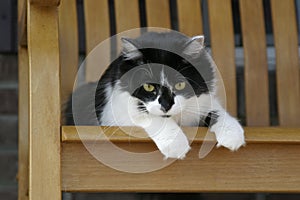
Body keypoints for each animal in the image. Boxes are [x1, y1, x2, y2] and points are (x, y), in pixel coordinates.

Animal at [65, 31, 244, 159]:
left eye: (180, 84)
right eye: (148, 86)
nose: (166, 105)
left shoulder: (204, 100)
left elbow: (216, 110)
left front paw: (232, 134)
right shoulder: (115, 111)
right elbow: (147, 116)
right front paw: (175, 144)